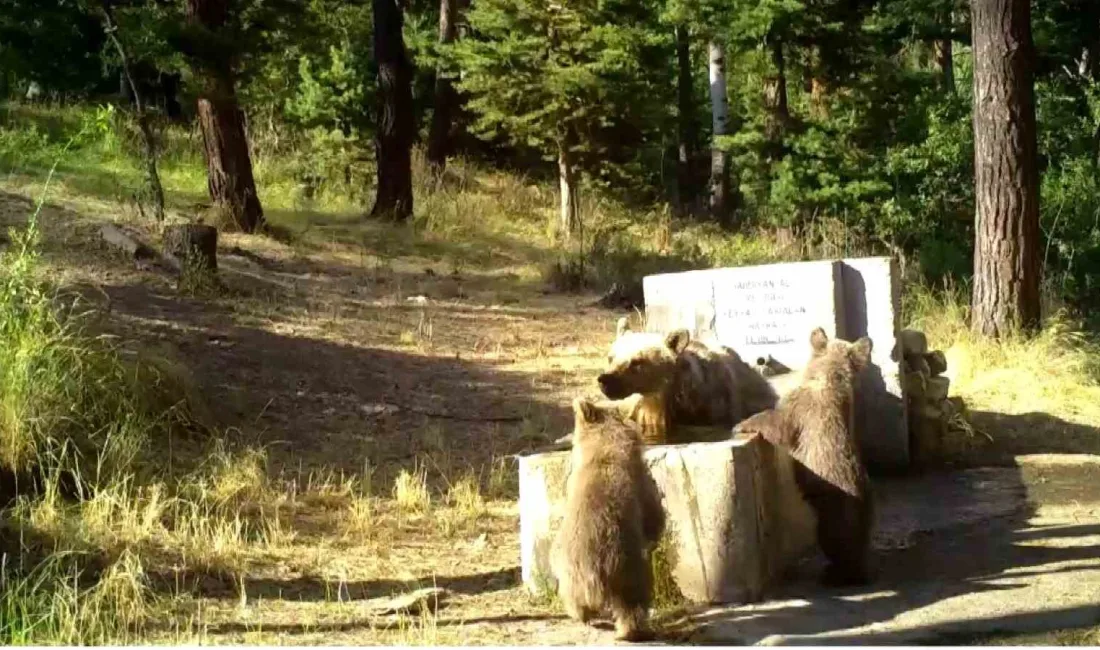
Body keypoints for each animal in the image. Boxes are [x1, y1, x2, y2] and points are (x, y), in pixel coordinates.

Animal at [550, 395, 660, 642]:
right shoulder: (641, 483)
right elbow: (654, 514)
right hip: (627, 566)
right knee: (633, 602)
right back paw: (632, 631)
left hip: (567, 565)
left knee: (574, 598)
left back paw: (583, 616)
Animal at [730, 327, 875, 589]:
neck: (829, 378)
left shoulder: (801, 411)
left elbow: (777, 422)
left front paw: (741, 424)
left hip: (835, 514)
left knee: (837, 545)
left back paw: (835, 574)